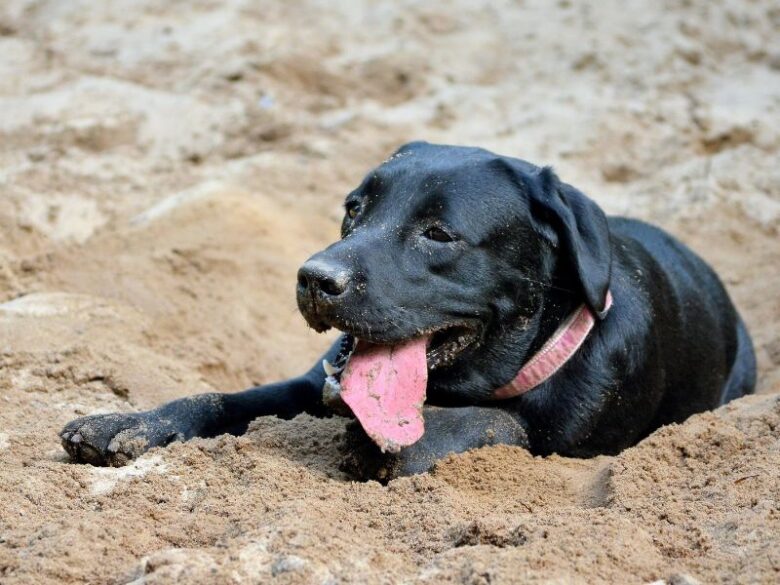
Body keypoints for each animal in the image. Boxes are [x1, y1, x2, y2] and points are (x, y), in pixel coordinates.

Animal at [61, 143, 756, 480]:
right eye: (353, 208)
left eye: (439, 234)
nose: (315, 279)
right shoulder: (310, 384)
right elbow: (225, 398)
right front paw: (139, 420)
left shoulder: (568, 444)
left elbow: (498, 422)